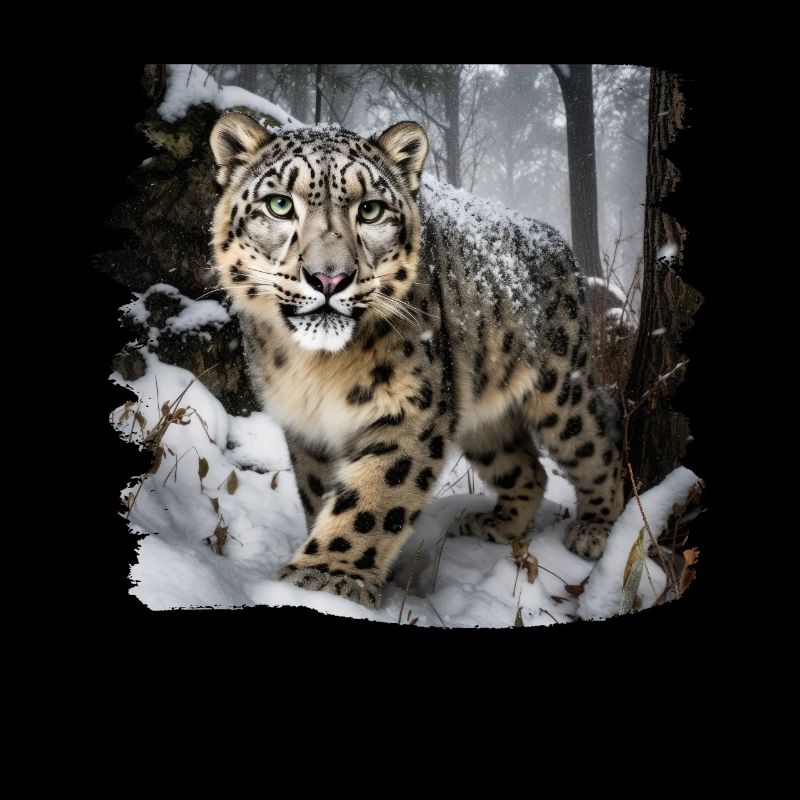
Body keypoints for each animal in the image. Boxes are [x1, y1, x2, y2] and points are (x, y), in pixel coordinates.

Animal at [208, 112, 624, 609]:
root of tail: (562, 247)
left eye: (370, 210)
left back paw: (593, 530)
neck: (318, 371)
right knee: (529, 469)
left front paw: (326, 579)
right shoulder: (307, 427)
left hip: (560, 388)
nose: (330, 277)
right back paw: (496, 525)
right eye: (278, 204)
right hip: (480, 416)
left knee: (597, 445)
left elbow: (373, 497)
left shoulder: (413, 406)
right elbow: (320, 493)